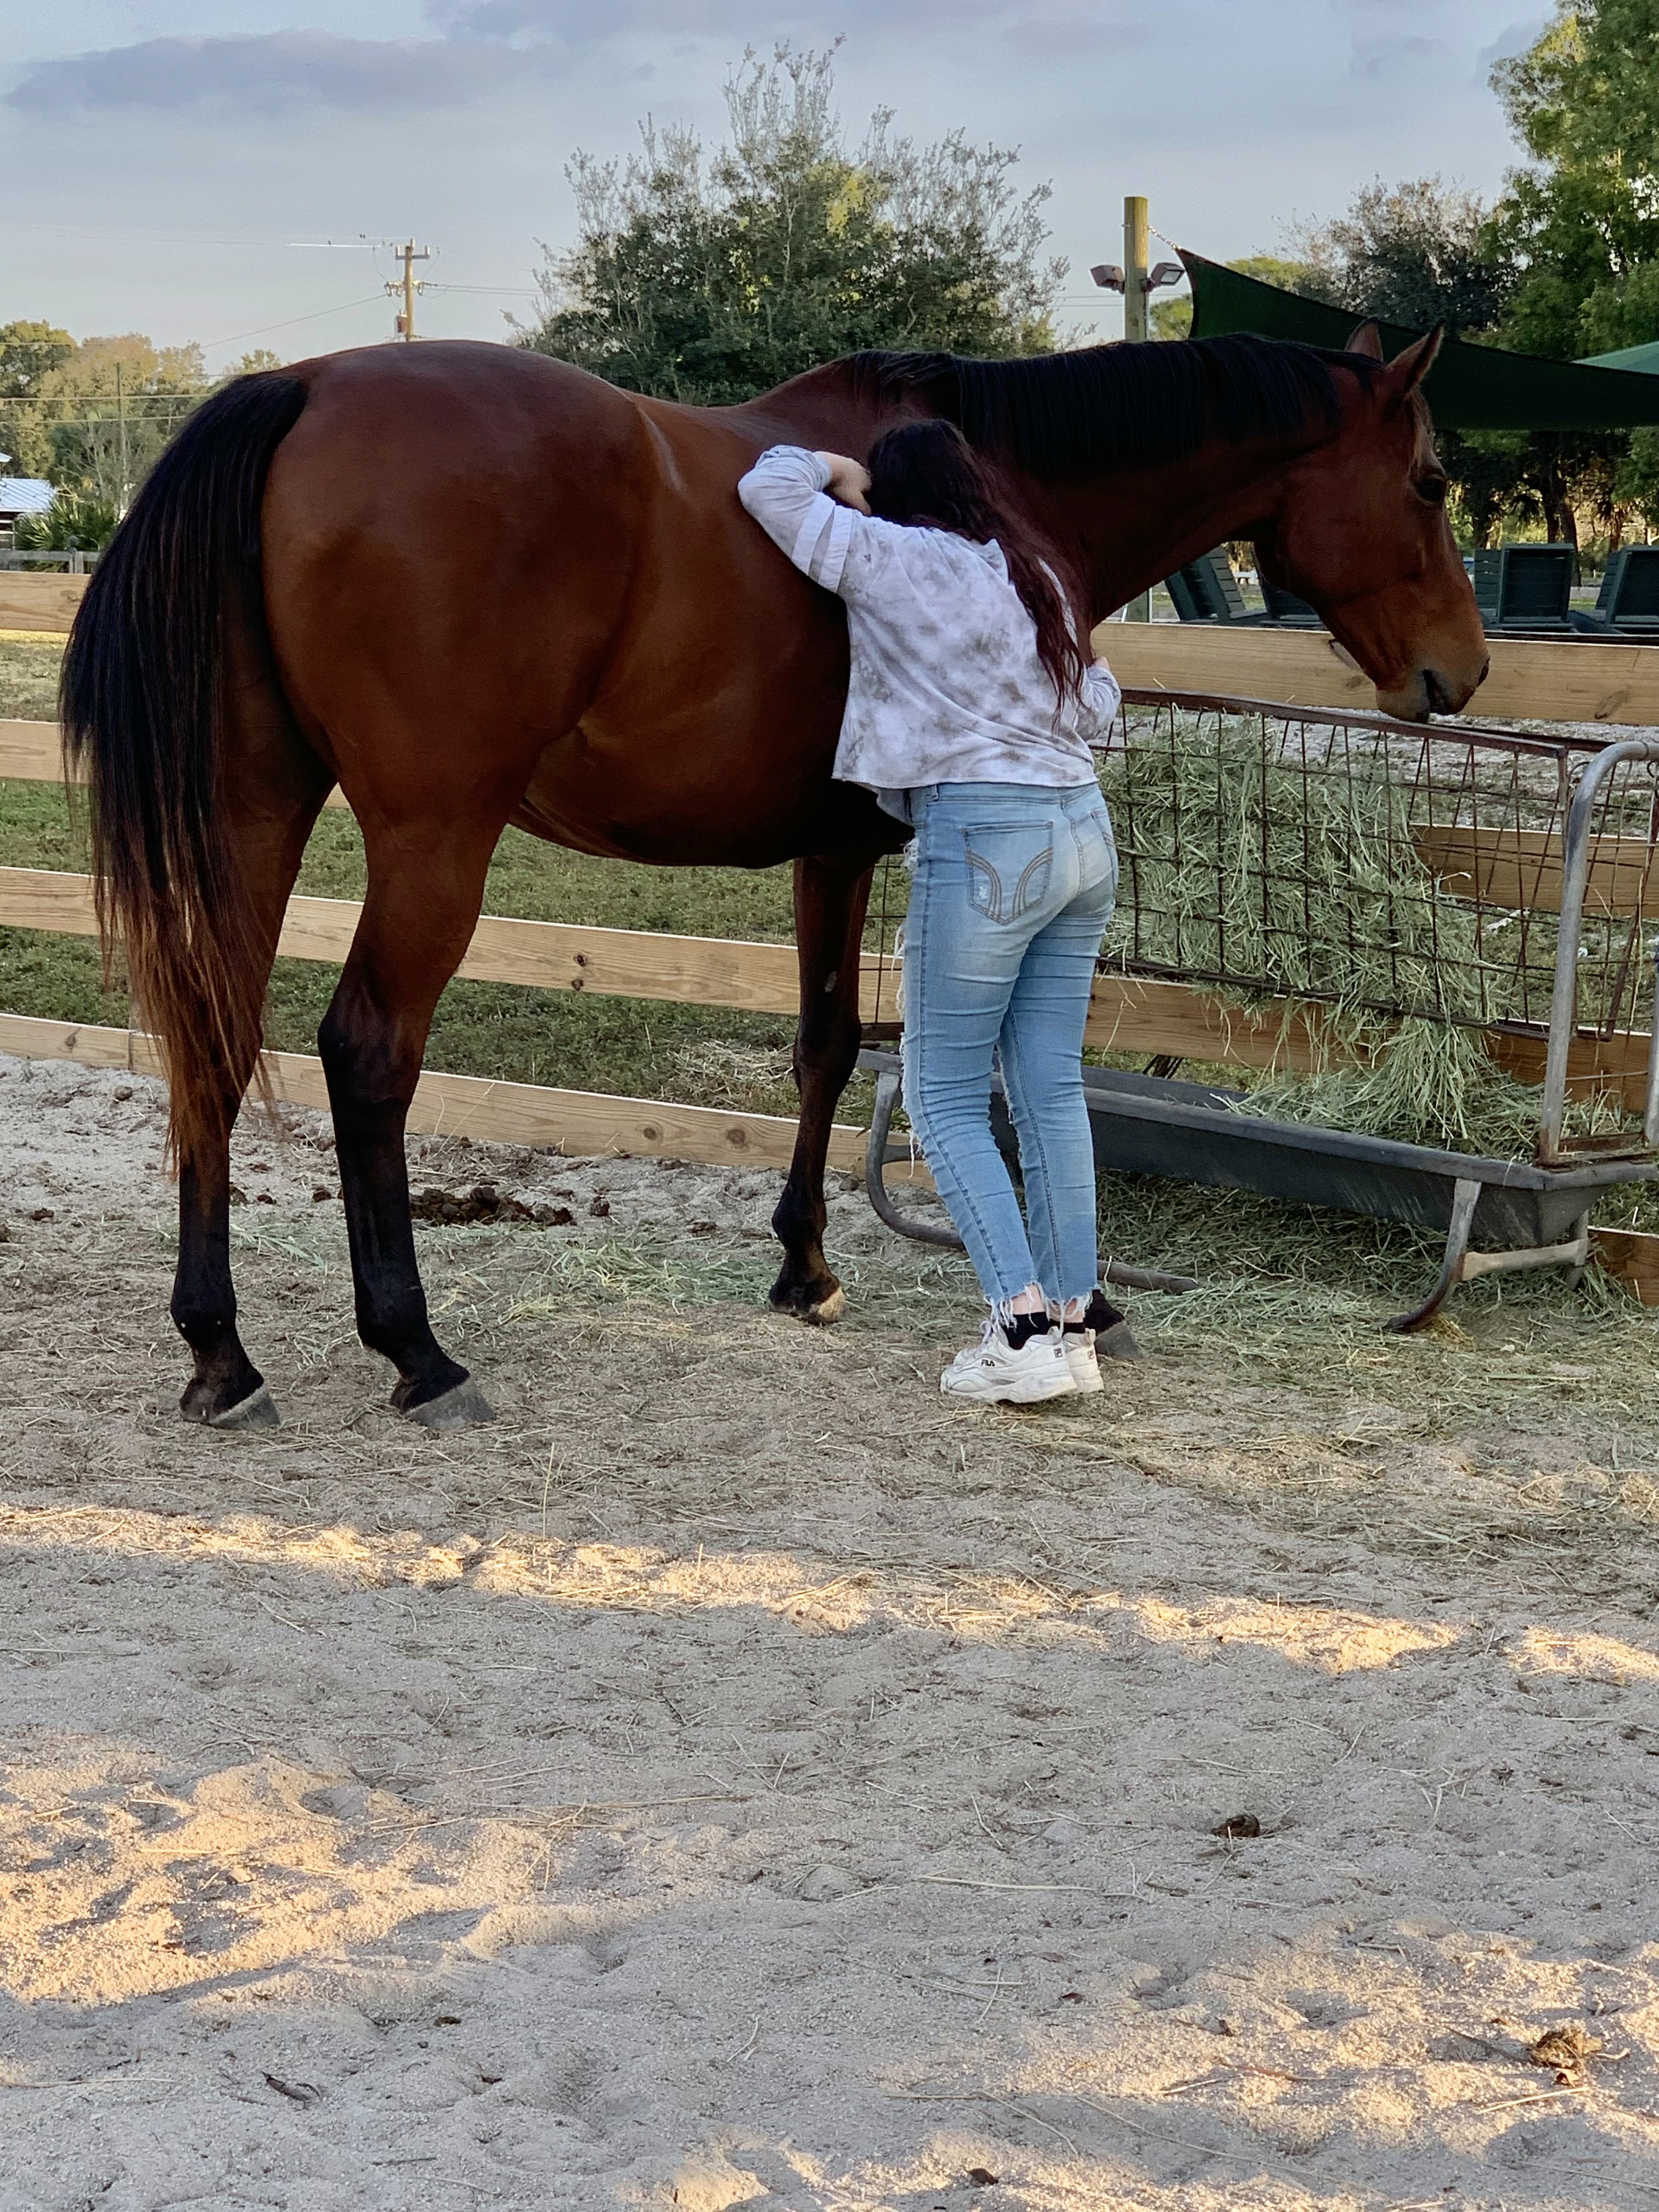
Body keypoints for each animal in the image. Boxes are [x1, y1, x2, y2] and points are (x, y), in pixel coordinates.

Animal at [62, 319, 1487, 1433]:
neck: (997, 492)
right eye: (1428, 481)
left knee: (212, 1036)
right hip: (435, 839)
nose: (1460, 673)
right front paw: (964, 1290)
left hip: (255, 808)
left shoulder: (825, 851)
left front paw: (805, 1267)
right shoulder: (864, 854)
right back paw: (418, 1353)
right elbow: (880, 1053)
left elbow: (822, 1042)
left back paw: (222, 1356)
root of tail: (299, 389)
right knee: (366, 1053)